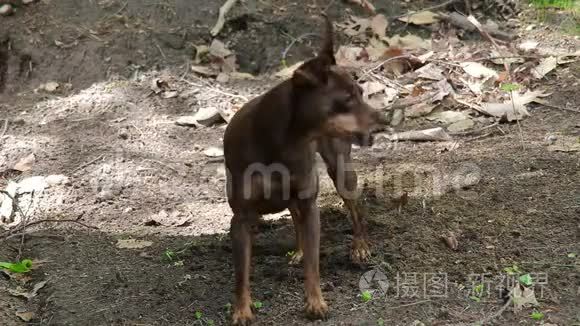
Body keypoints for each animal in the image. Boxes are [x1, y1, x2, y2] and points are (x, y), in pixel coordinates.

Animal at [222, 14, 380, 324]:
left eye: (362, 93)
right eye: (347, 99)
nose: (383, 120)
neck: (281, 141)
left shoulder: (310, 204)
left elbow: (313, 264)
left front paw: (315, 303)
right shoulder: (241, 219)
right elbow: (240, 274)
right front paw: (242, 311)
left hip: (340, 169)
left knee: (355, 208)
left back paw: (360, 246)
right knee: (295, 216)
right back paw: (298, 251)